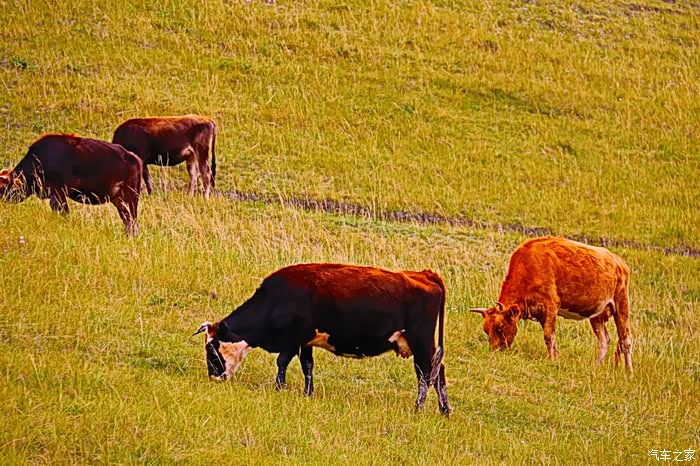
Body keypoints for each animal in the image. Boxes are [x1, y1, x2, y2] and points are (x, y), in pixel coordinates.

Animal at [0, 134, 142, 236]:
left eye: (3, 188)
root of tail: (135, 158)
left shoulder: (58, 194)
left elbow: (65, 213)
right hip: (119, 201)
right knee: (127, 221)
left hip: (130, 198)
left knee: (132, 221)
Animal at [192, 263, 451, 415]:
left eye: (211, 348)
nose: (213, 377)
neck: (275, 299)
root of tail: (425, 275)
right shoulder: (305, 342)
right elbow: (307, 366)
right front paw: (308, 393)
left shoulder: (293, 339)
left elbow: (282, 362)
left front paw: (279, 388)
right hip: (425, 346)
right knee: (438, 373)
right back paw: (444, 410)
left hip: (421, 342)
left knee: (425, 374)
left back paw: (418, 409)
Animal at [470, 236, 632, 371]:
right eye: (486, 330)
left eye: (500, 327)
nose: (494, 351)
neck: (528, 267)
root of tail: (619, 262)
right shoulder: (542, 313)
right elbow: (551, 338)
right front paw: (555, 358)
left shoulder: (550, 306)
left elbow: (549, 337)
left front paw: (551, 360)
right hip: (597, 315)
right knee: (604, 339)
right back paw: (597, 367)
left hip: (621, 305)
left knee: (626, 339)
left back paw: (628, 372)